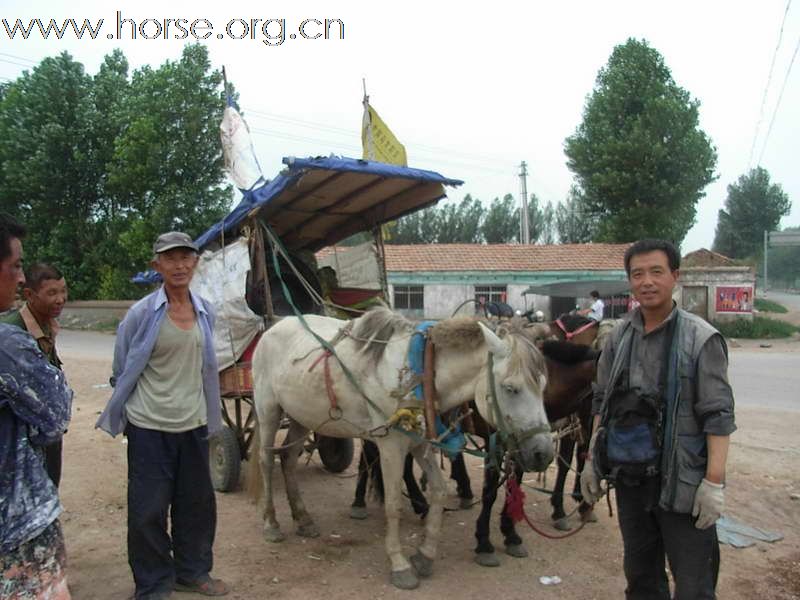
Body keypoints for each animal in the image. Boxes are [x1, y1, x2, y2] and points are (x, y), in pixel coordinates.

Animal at [250, 308, 556, 588]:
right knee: (266, 462)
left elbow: (439, 492)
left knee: (288, 459)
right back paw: (271, 524)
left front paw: (425, 555)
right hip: (268, 410)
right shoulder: (391, 445)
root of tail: (274, 326)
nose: (543, 454)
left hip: (301, 417)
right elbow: (394, 503)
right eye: (511, 388)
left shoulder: (419, 444)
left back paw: (303, 519)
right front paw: (400, 565)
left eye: (543, 385)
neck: (421, 371)